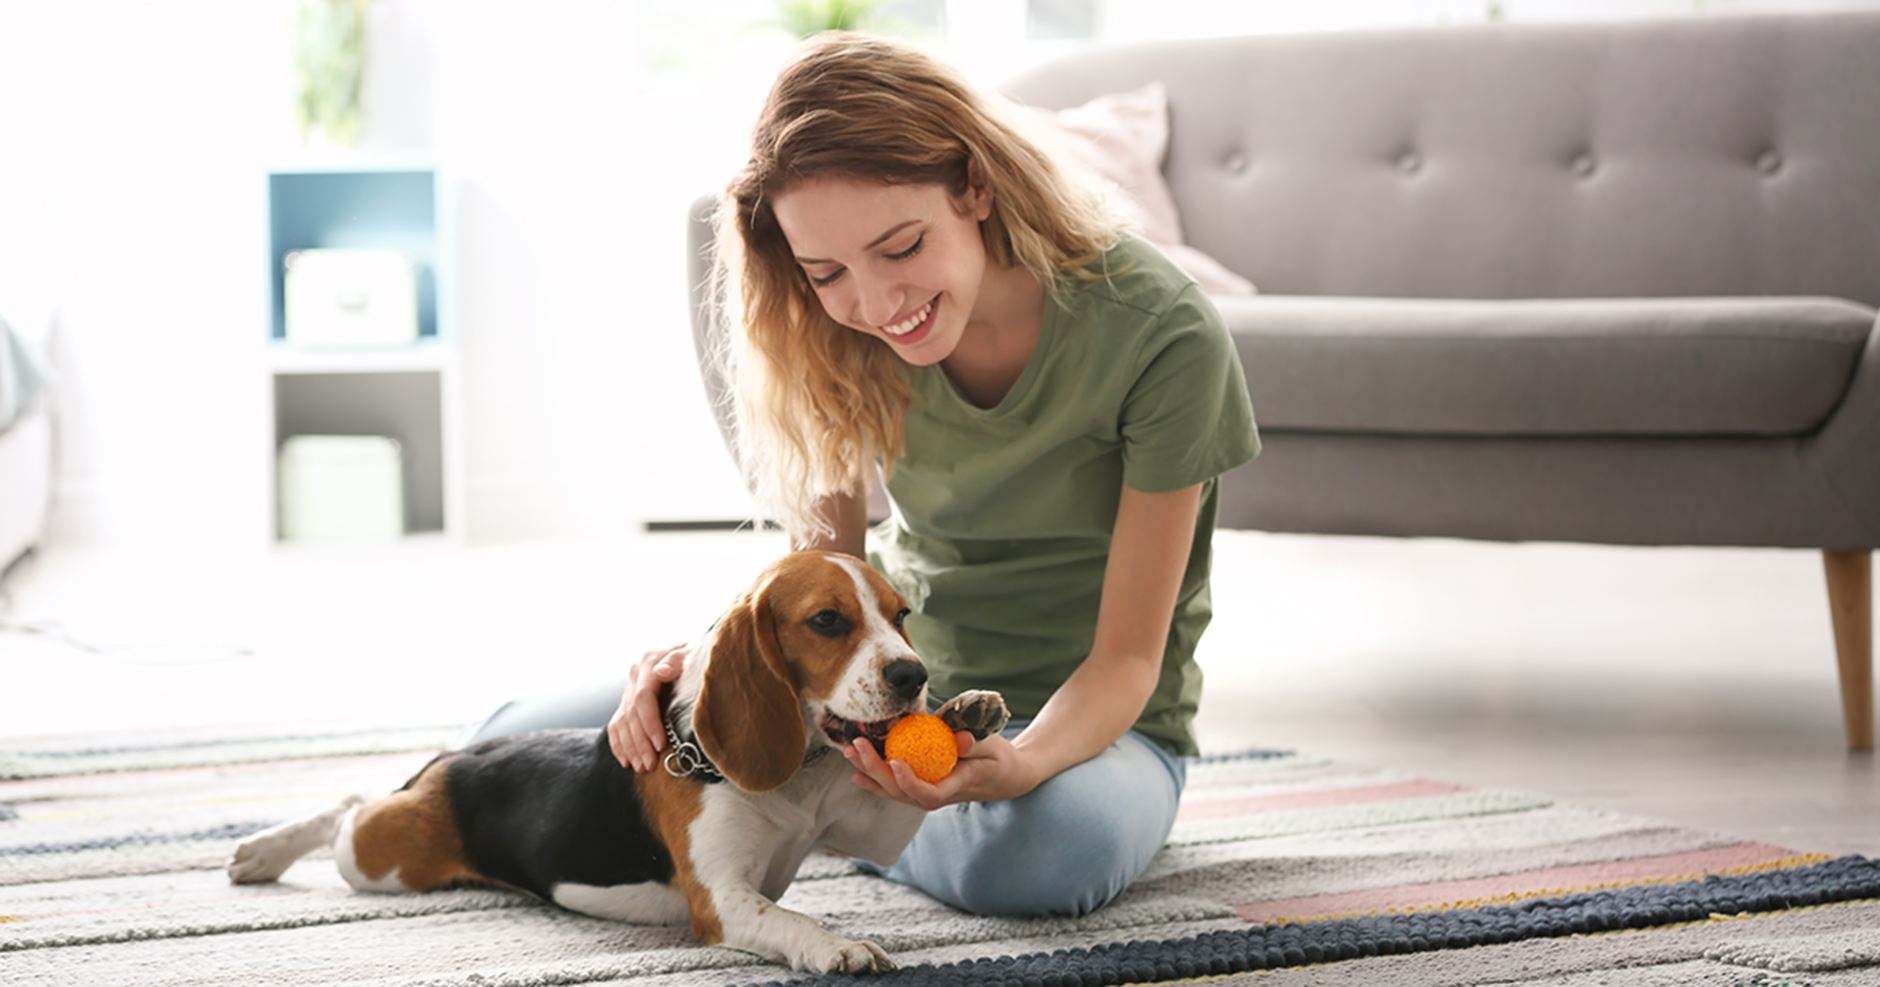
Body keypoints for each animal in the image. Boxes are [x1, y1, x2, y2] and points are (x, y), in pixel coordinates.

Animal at [231, 548, 1015, 970]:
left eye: (901, 614)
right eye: (827, 620)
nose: (914, 675)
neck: (802, 774)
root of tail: (456, 759)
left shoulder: (869, 830)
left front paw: (968, 711)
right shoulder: (723, 900)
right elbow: (793, 920)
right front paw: (835, 947)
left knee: (355, 800)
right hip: (383, 860)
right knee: (346, 811)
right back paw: (264, 850)